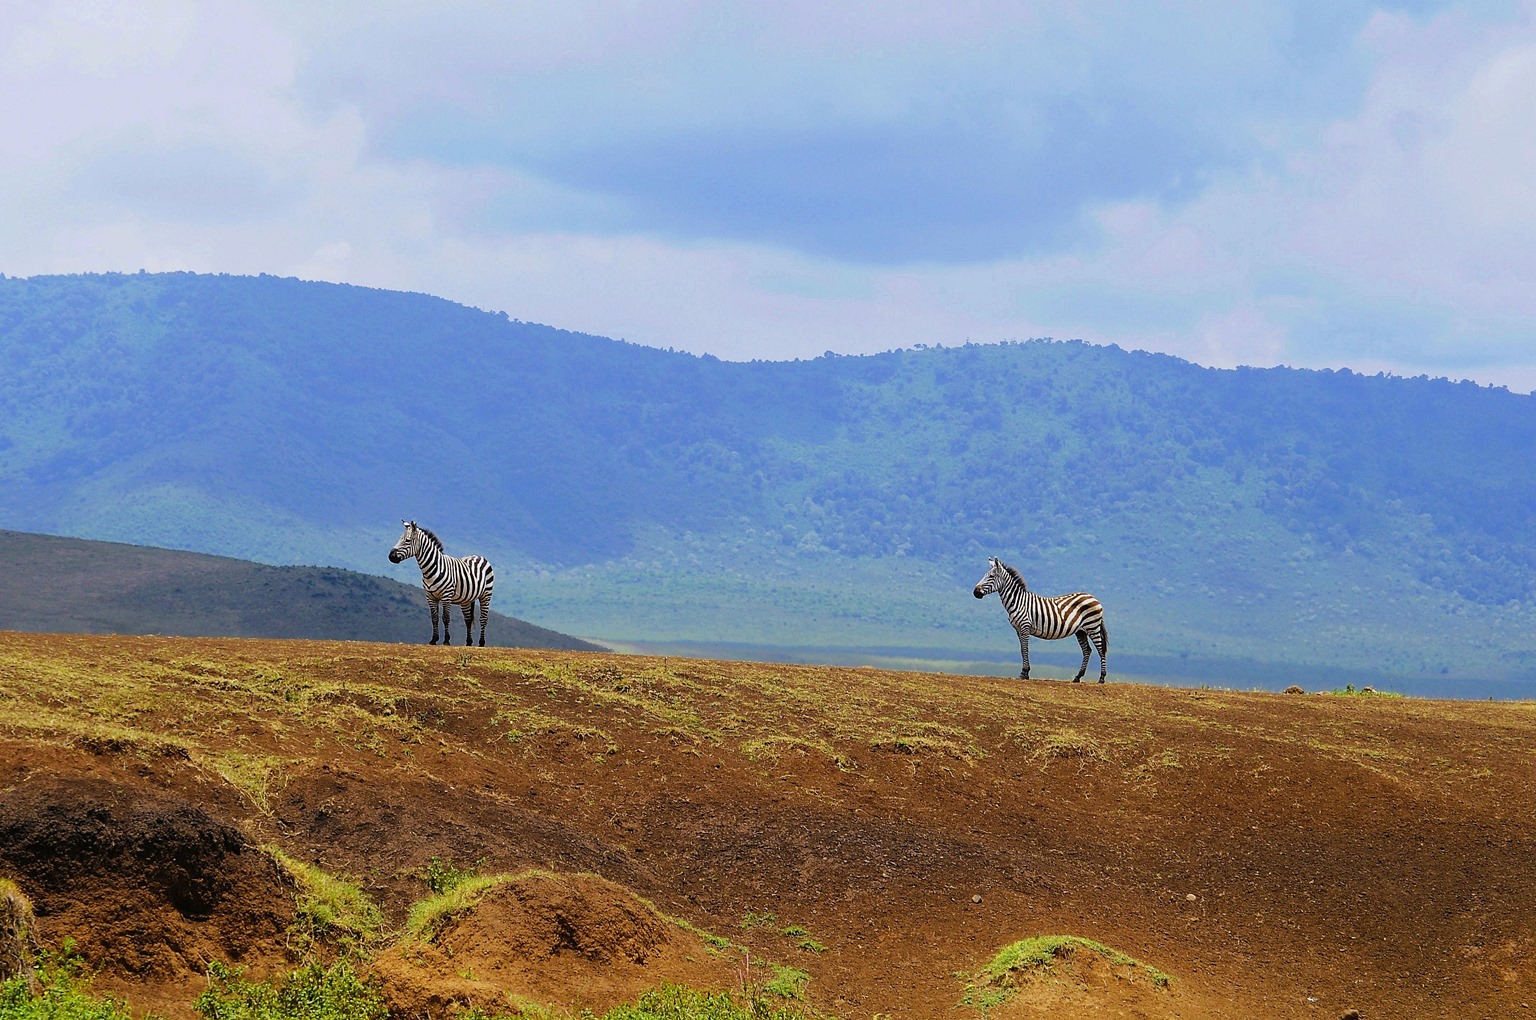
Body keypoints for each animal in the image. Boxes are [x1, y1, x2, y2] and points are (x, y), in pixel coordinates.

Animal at [970, 559, 1105, 685]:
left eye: (991, 576)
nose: (975, 592)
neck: (1018, 601)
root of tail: (1092, 597)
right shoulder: (1018, 629)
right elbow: (1022, 649)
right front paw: (1025, 672)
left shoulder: (1024, 626)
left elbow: (1025, 649)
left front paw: (1024, 673)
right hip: (1081, 631)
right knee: (1087, 650)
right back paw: (1077, 677)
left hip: (1092, 627)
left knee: (1100, 649)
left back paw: (1102, 678)